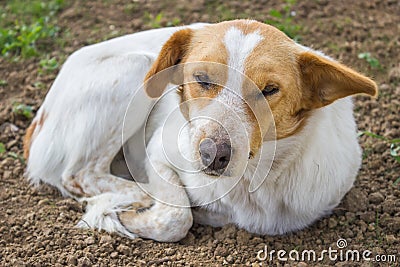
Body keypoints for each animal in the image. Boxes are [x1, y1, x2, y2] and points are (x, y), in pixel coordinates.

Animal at [23, 19, 376, 243]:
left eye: (269, 90)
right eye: (202, 79)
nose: (212, 155)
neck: (249, 183)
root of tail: (36, 123)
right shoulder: (159, 153)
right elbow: (177, 217)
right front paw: (131, 216)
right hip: (137, 69)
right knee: (78, 175)